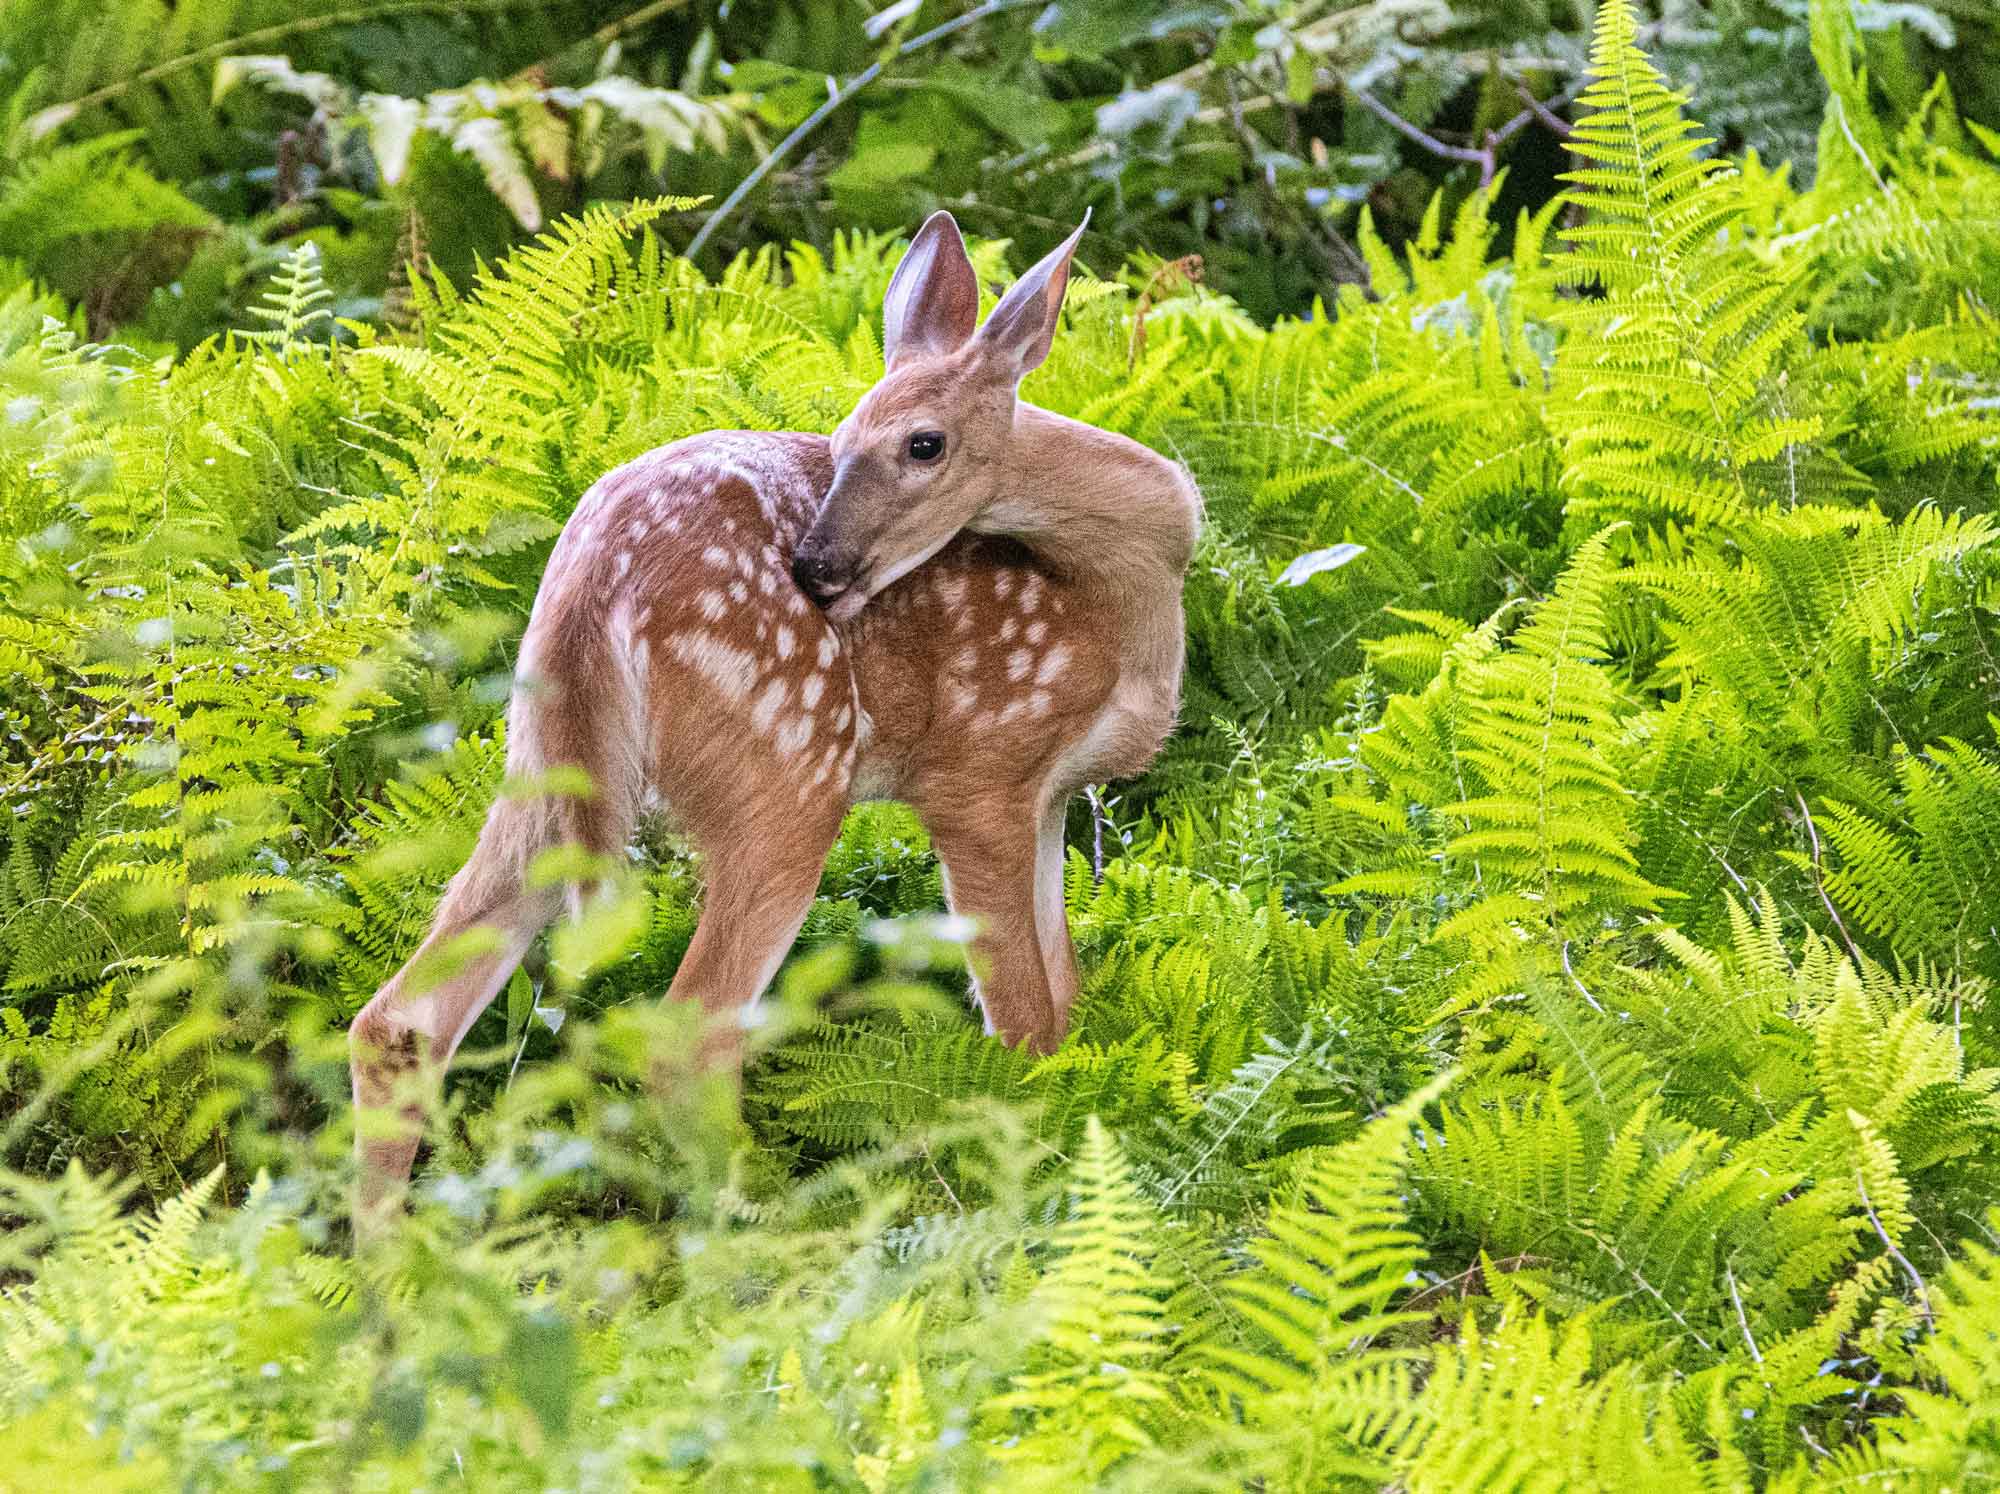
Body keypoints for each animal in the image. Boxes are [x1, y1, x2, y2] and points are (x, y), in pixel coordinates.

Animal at [349, 210, 1202, 1231]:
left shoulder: (1054, 794)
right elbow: (1027, 1024)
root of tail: (593, 579)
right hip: (786, 763)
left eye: (923, 443)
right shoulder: (978, 769)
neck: (1125, 596)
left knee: (399, 1018)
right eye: (840, 440)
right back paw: (764, 1229)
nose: (818, 568)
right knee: (686, 1030)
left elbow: (1067, 995)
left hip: (548, 770)